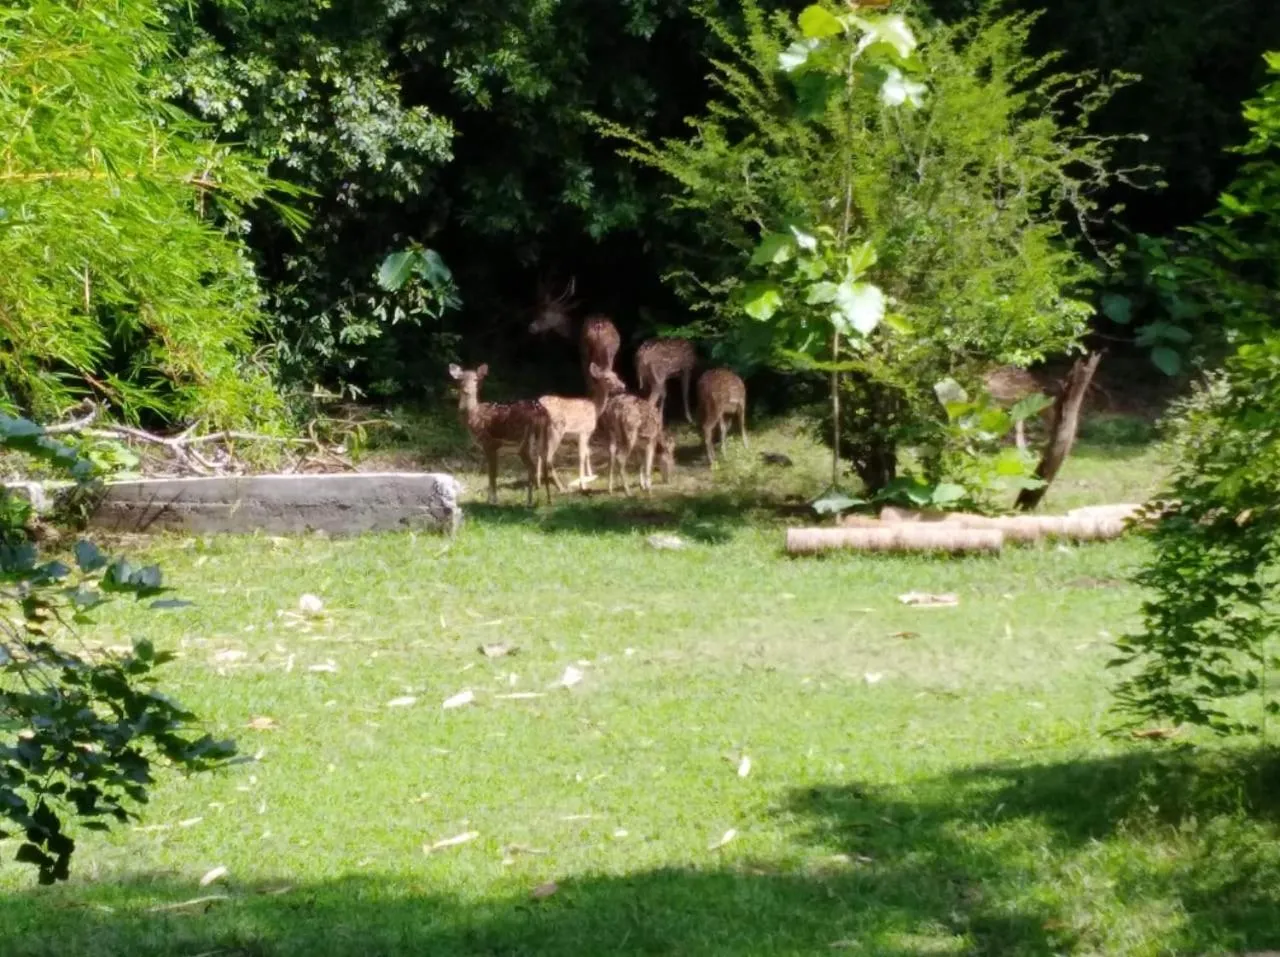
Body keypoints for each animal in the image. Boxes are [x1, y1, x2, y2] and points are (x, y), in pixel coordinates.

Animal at [448, 363, 548, 506]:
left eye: (476, 380)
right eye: (460, 379)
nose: (467, 391)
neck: (474, 416)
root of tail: (541, 414)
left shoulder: (490, 443)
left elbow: (492, 473)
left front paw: (492, 501)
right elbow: (491, 472)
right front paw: (490, 499)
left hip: (523, 442)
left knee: (532, 467)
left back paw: (529, 501)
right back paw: (541, 500)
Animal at [536, 361, 629, 499]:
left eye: (616, 375)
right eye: (607, 378)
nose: (623, 386)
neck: (595, 409)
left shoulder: (586, 434)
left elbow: (587, 452)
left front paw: (589, 475)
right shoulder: (584, 431)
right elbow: (581, 455)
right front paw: (583, 485)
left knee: (538, 453)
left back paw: (538, 483)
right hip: (556, 429)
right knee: (548, 457)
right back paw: (561, 488)